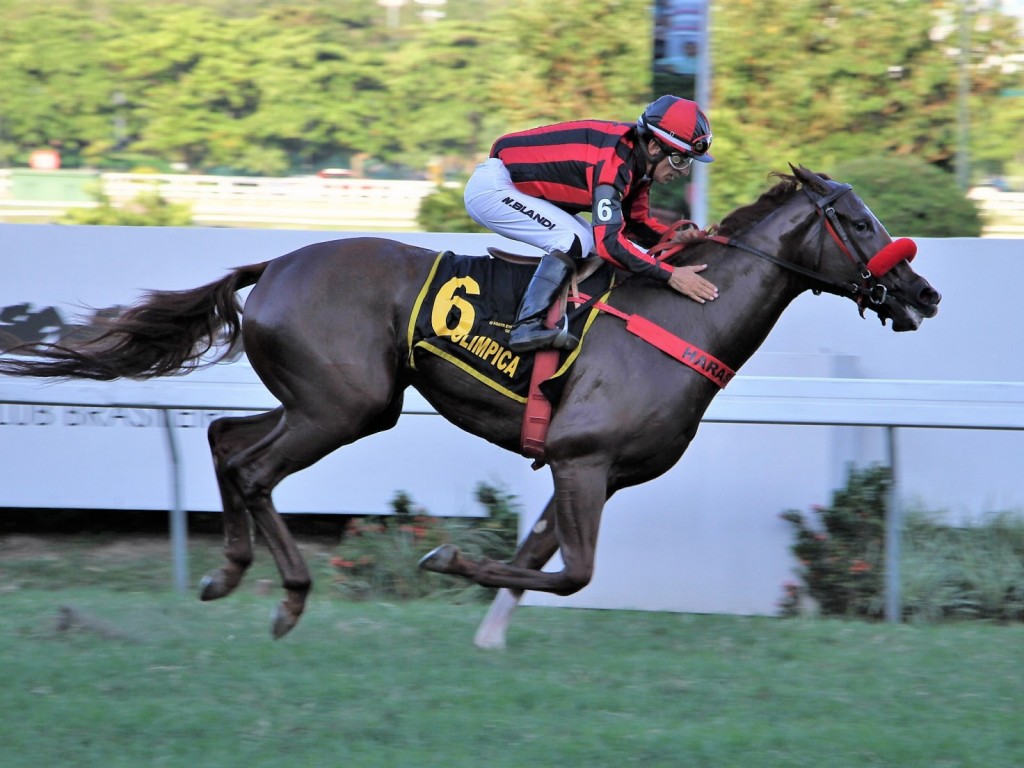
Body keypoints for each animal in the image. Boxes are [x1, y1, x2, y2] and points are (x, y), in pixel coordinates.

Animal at [0, 165, 937, 647]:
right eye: (857, 220)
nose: (922, 292)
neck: (681, 316)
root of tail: (275, 264)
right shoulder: (582, 459)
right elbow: (573, 571)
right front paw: (447, 560)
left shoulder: (593, 471)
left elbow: (541, 558)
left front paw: (485, 623)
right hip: (343, 408)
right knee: (257, 467)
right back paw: (288, 595)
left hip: (327, 402)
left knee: (229, 439)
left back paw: (226, 570)